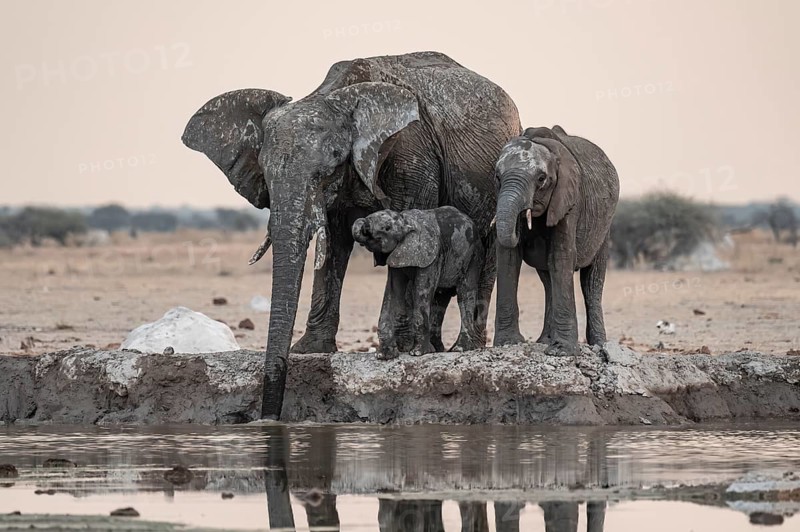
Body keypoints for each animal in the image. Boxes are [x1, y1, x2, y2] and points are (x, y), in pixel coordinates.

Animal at [351, 207, 484, 359]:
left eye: (387, 228)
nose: (363, 224)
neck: (405, 221)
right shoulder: (397, 255)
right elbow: (392, 291)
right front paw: (384, 356)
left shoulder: (431, 255)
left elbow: (422, 291)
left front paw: (418, 353)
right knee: (441, 298)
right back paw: (437, 349)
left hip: (474, 254)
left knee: (465, 293)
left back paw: (460, 349)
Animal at [493, 126, 619, 356]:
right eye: (498, 177)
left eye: (541, 179)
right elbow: (508, 258)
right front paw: (508, 343)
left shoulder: (569, 198)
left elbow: (561, 257)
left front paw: (562, 351)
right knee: (548, 280)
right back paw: (544, 340)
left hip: (604, 228)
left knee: (592, 281)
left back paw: (599, 344)